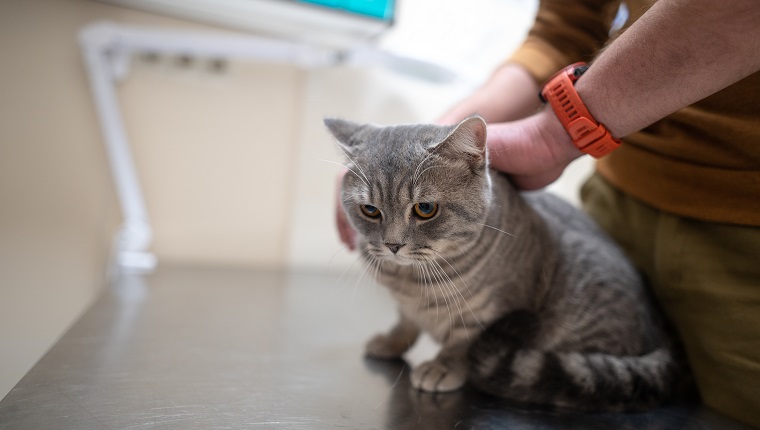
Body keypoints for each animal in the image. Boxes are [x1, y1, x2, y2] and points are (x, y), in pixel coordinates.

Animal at [324, 115, 680, 414]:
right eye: (370, 211)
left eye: (425, 209)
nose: (393, 245)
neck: (413, 282)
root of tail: (664, 333)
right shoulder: (406, 305)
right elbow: (405, 322)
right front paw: (390, 342)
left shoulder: (487, 311)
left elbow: (461, 342)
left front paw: (443, 366)